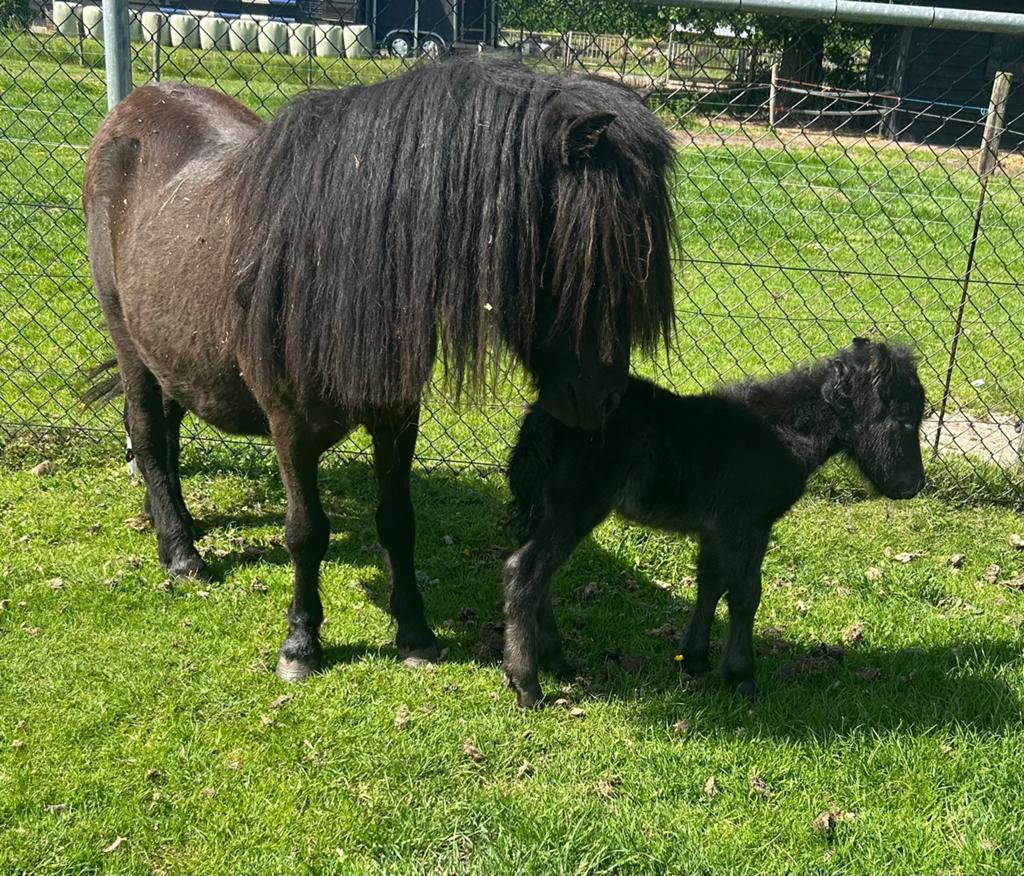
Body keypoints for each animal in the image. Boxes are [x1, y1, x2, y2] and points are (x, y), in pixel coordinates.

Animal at [81, 57, 678, 682]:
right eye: (585, 256)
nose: (602, 400)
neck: (332, 264)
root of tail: (132, 106)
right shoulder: (289, 425)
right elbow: (306, 532)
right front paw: (301, 645)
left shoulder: (397, 416)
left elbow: (397, 520)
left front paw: (415, 633)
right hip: (128, 339)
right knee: (149, 436)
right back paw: (181, 554)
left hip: (170, 351)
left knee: (168, 428)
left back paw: (171, 526)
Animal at [504, 339, 926, 706]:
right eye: (904, 417)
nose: (912, 486)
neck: (782, 432)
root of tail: (546, 420)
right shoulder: (748, 525)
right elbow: (745, 595)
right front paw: (742, 678)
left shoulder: (716, 529)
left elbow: (710, 583)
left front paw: (694, 659)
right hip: (574, 509)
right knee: (524, 572)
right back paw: (528, 684)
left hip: (546, 511)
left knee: (541, 578)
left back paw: (556, 661)